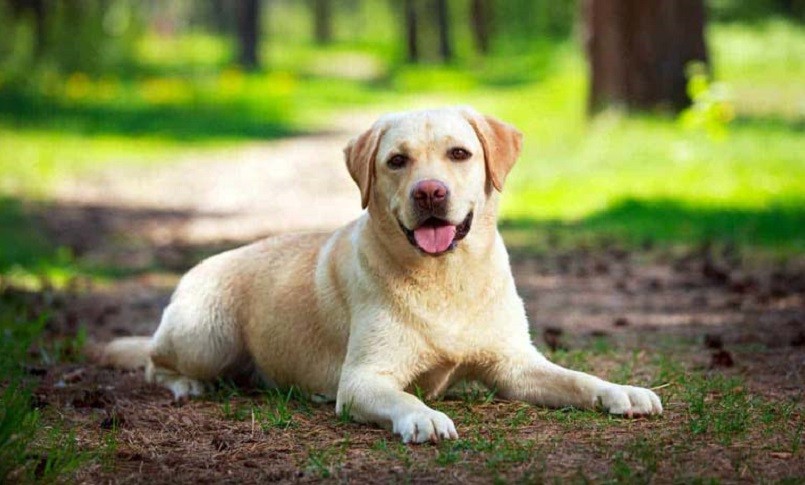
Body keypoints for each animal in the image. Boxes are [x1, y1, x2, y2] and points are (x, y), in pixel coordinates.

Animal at [102, 106, 660, 442]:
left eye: (460, 153)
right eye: (397, 161)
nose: (430, 192)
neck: (446, 278)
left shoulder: (515, 365)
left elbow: (577, 378)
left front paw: (622, 391)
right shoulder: (365, 378)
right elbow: (402, 395)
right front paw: (424, 416)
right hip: (206, 336)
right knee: (154, 362)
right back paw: (185, 385)